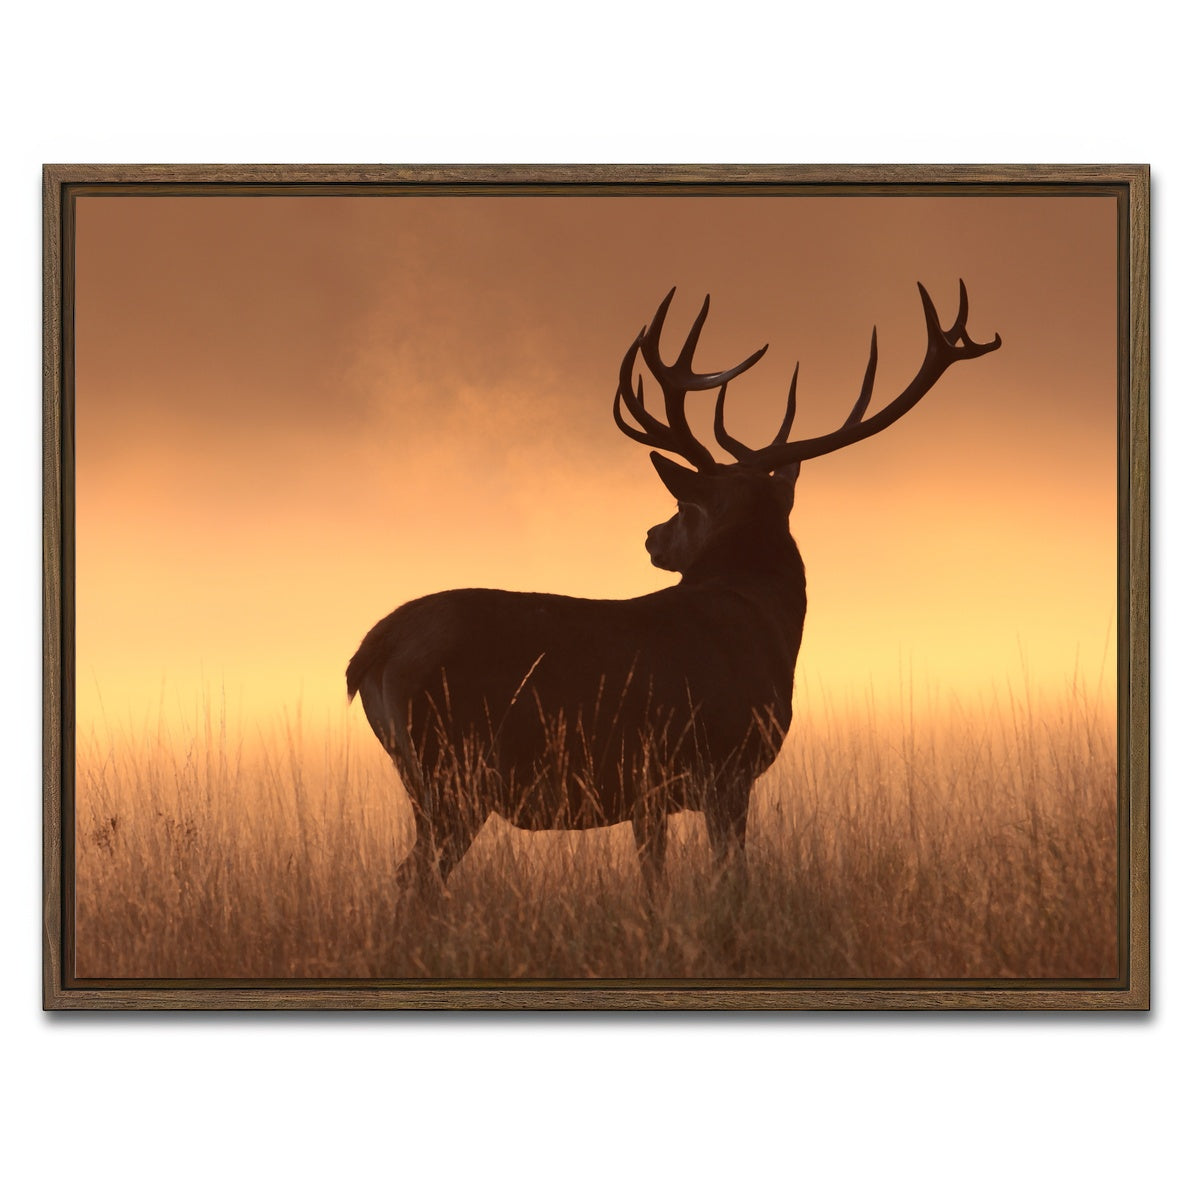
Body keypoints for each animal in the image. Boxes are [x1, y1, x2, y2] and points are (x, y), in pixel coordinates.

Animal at [347, 283, 1000, 899]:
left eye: (684, 509)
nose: (651, 537)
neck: (766, 627)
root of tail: (370, 653)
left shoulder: (649, 792)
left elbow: (654, 881)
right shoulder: (726, 765)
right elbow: (730, 877)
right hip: (452, 769)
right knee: (414, 877)